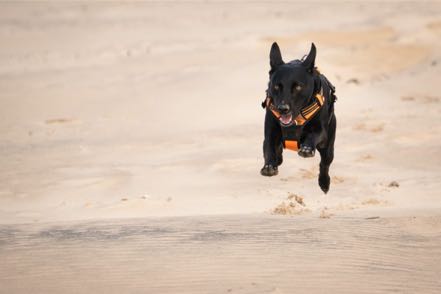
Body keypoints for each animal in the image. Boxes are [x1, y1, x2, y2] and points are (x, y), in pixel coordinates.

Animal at [260, 42, 336, 193]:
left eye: (298, 87)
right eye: (276, 86)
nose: (282, 109)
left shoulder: (321, 131)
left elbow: (313, 135)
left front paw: (306, 149)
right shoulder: (270, 132)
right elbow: (269, 147)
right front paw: (269, 166)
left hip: (328, 144)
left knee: (325, 163)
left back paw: (324, 183)